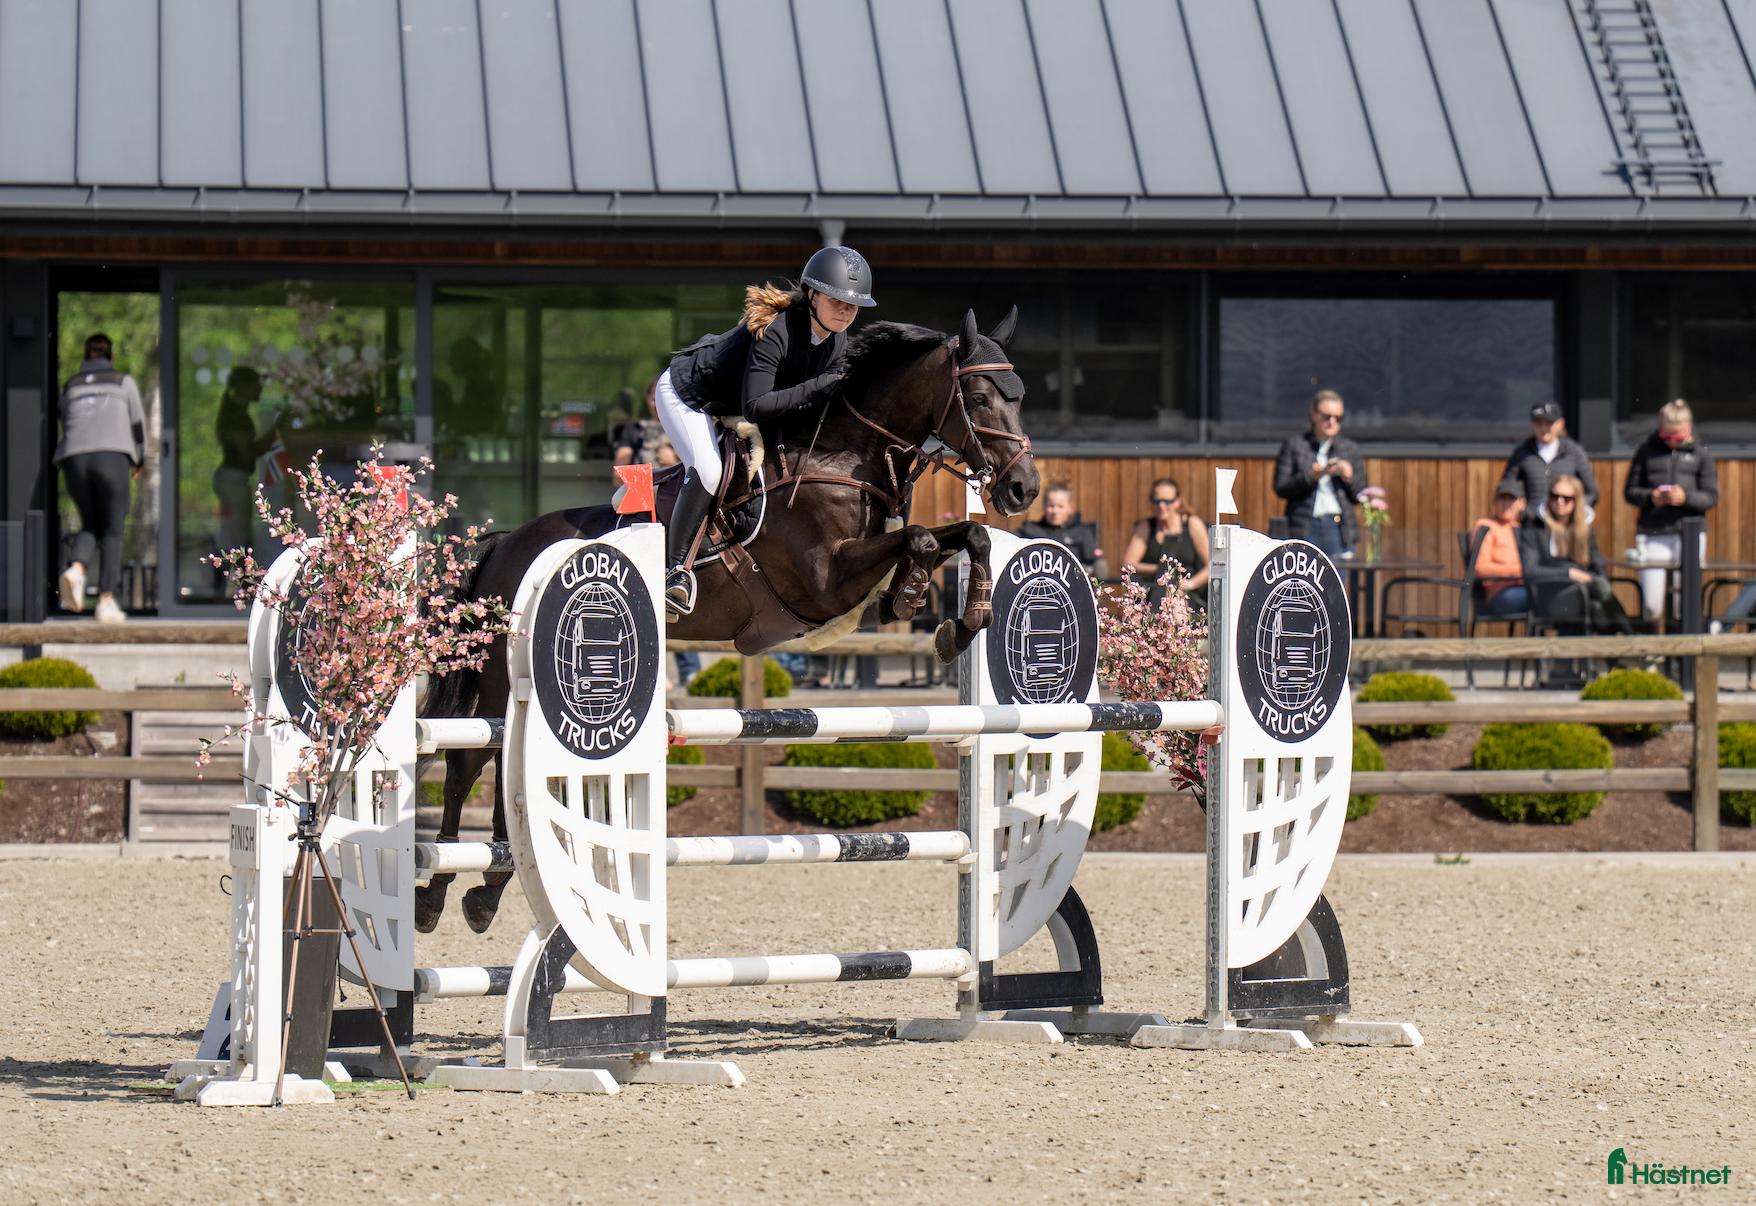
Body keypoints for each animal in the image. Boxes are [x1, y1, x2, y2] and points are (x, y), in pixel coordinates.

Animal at [416, 308, 1040, 934]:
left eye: (1021, 395)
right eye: (979, 398)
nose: (1023, 488)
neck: (842, 458)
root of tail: (504, 543)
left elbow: (967, 535)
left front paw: (960, 621)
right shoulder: (825, 581)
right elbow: (919, 539)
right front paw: (919, 596)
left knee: (506, 766)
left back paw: (488, 887)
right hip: (501, 675)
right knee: (470, 761)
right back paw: (441, 893)